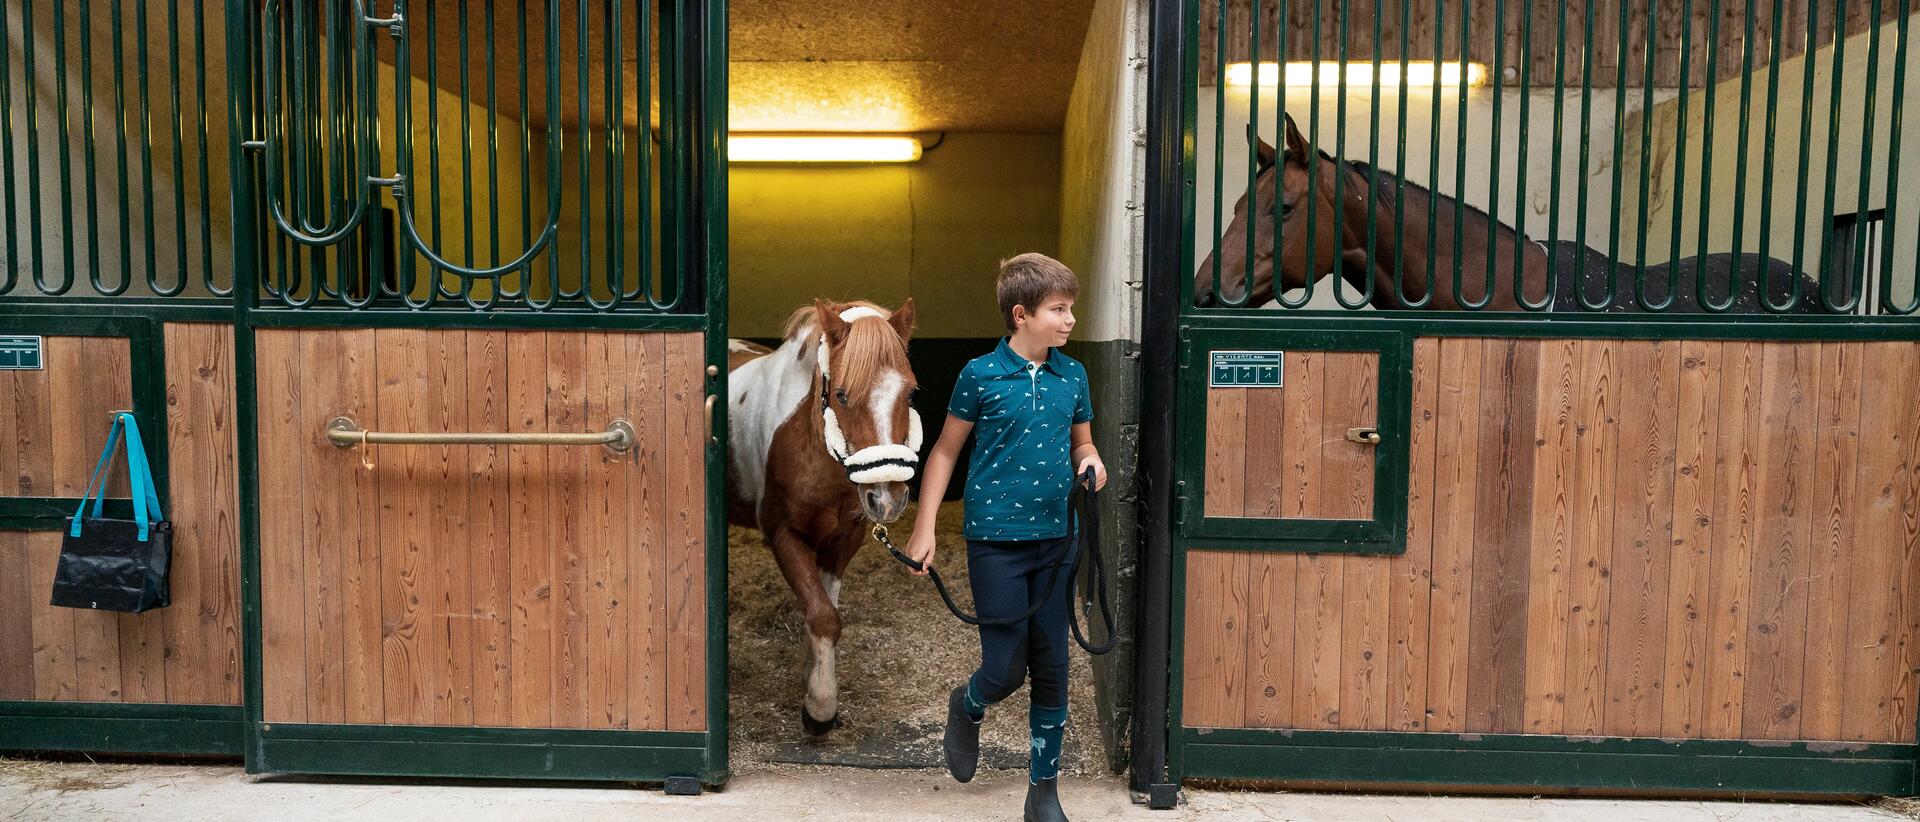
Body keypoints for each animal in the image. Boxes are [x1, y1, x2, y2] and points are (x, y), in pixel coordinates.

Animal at [725, 297, 921, 733]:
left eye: (910, 392)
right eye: (842, 395)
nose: (888, 497)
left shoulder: (842, 541)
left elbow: (824, 610)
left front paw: (812, 674)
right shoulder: (783, 535)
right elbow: (823, 615)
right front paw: (820, 708)